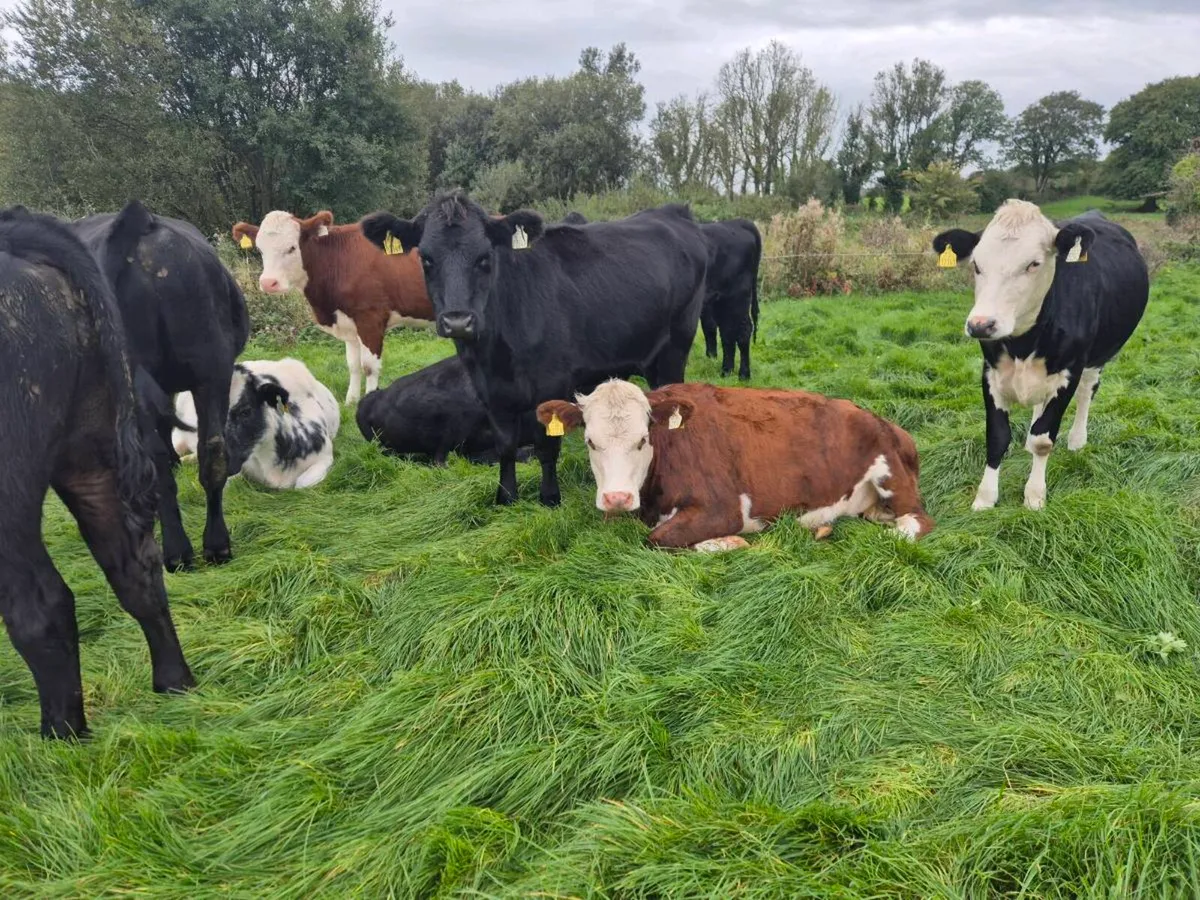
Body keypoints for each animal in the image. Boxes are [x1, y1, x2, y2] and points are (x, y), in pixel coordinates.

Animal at [230, 211, 434, 405]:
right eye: (260, 249)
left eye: (292, 248)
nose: (268, 283)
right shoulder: (349, 324)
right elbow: (353, 365)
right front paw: (351, 401)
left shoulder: (370, 318)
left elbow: (369, 366)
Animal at [535, 379, 934, 550]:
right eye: (591, 442)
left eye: (642, 440)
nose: (617, 497)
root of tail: (884, 420)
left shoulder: (724, 508)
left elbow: (659, 539)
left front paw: (728, 542)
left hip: (891, 476)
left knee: (914, 522)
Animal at [699, 219, 762, 380]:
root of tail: (736, 223)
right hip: (720, 300)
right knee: (727, 331)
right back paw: (726, 370)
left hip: (737, 297)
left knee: (743, 330)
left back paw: (743, 374)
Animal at [932, 200, 1150, 511]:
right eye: (976, 264)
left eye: (1033, 264)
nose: (981, 325)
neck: (1023, 345)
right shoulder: (990, 372)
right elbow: (997, 437)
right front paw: (985, 498)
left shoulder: (1069, 371)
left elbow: (1044, 439)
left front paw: (1034, 495)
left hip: (1100, 355)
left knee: (1087, 392)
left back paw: (1077, 440)